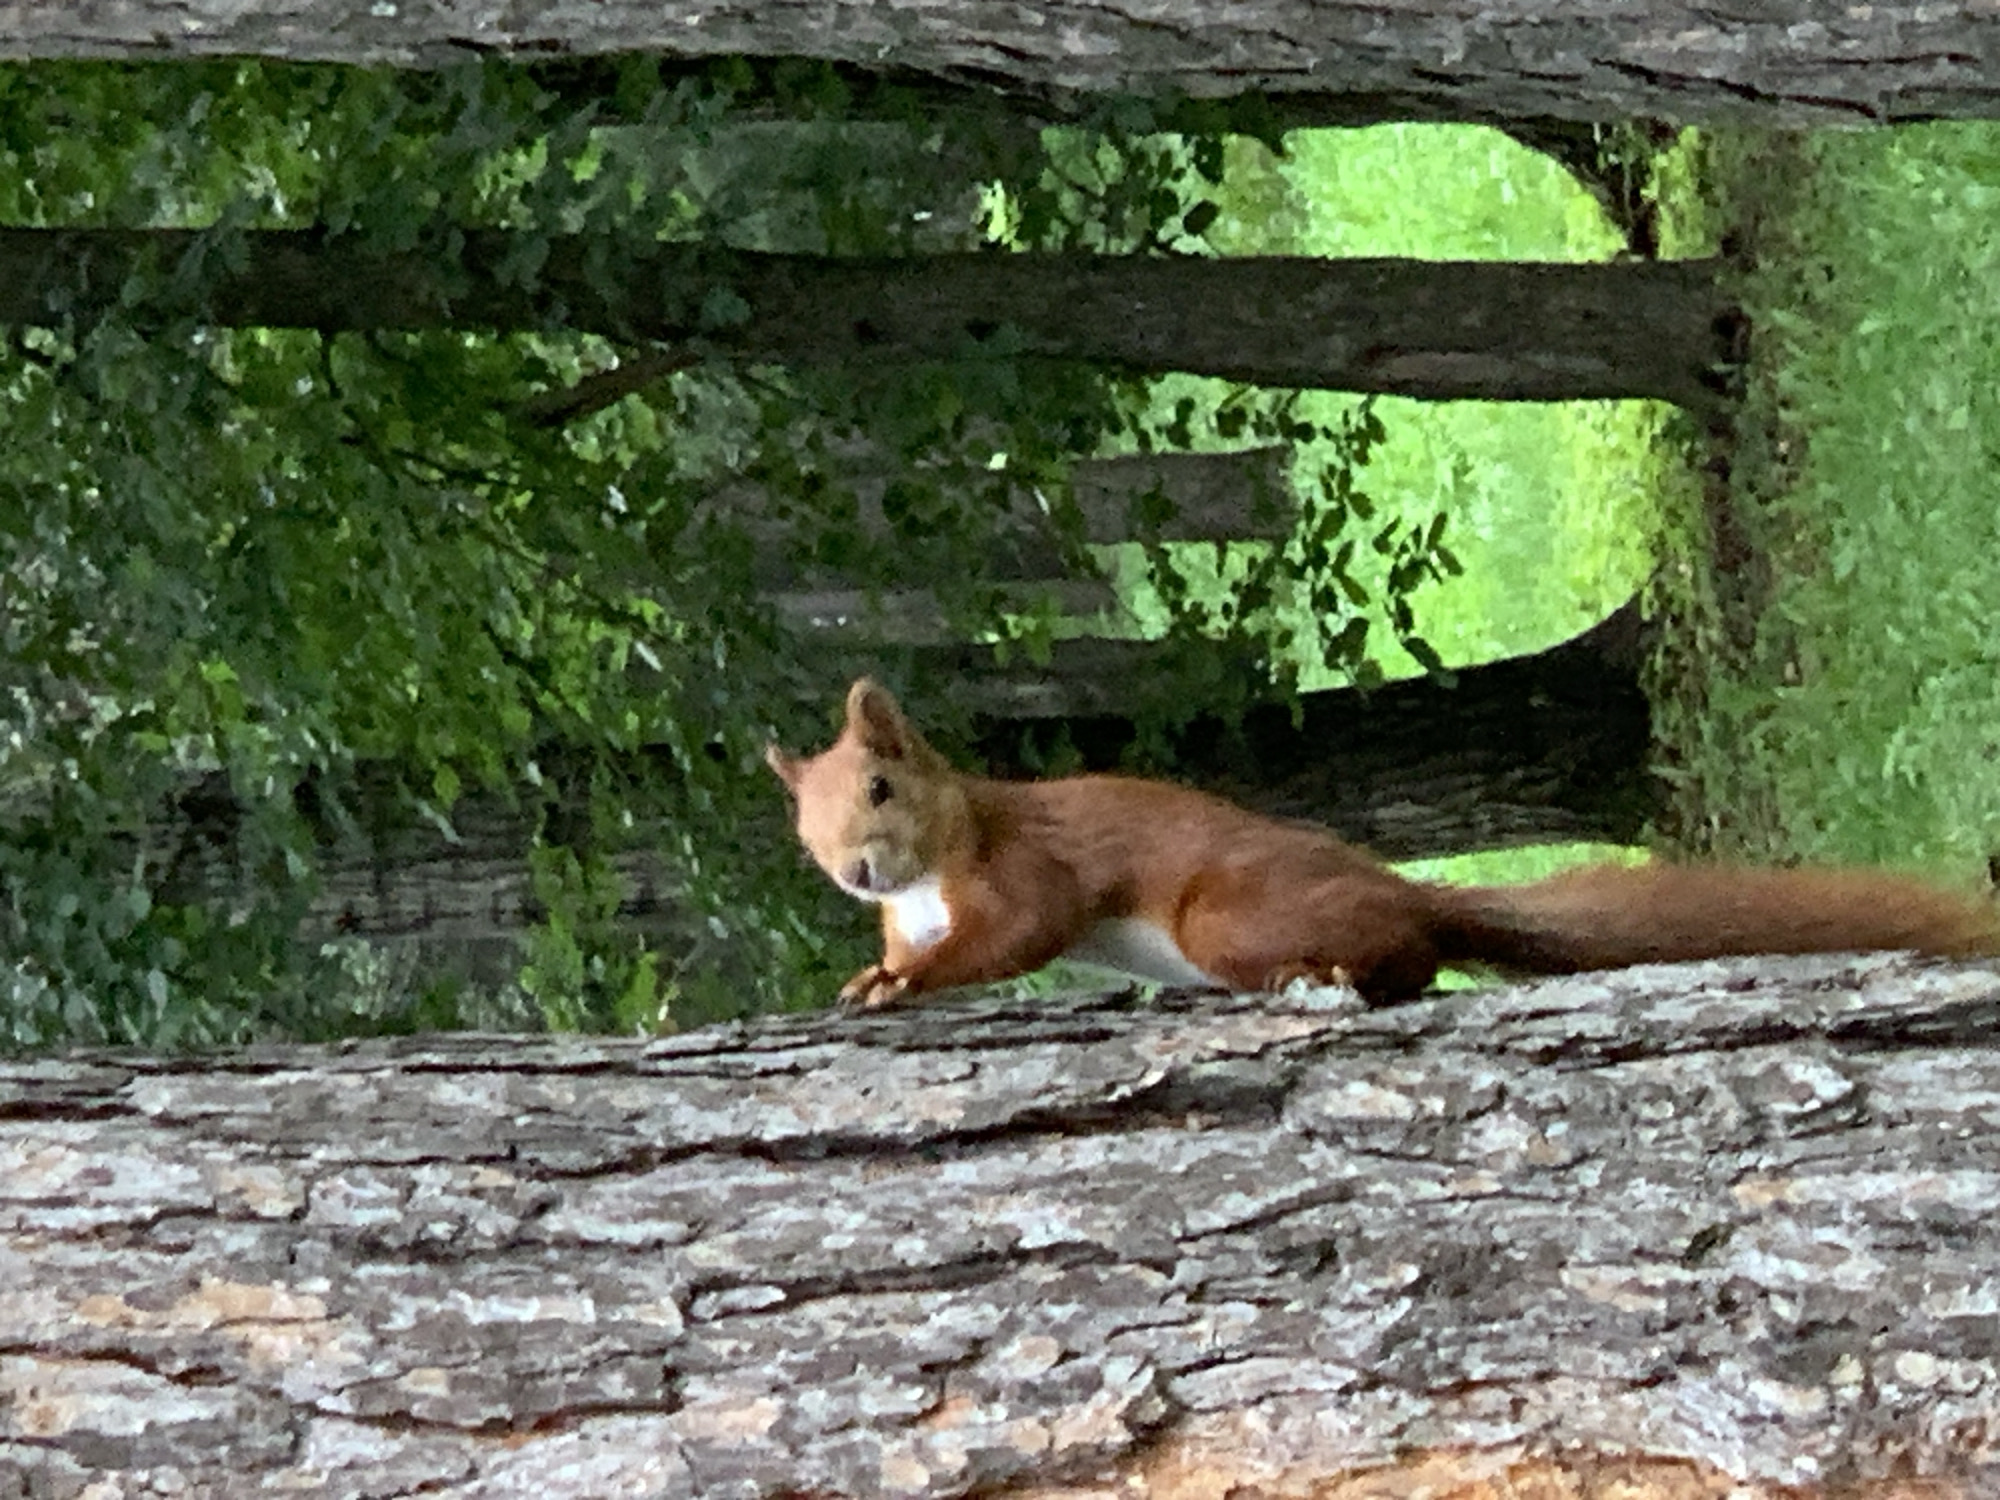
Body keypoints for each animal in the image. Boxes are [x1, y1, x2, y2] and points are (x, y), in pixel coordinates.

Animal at [767, 678, 1999, 1007]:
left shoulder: (1030, 868)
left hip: (1230, 916)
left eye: (879, 784)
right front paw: (876, 968)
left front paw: (903, 986)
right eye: (803, 835)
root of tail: (1405, 888)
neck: (937, 867)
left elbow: (1016, 936)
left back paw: (1331, 973)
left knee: (1409, 954)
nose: (857, 870)